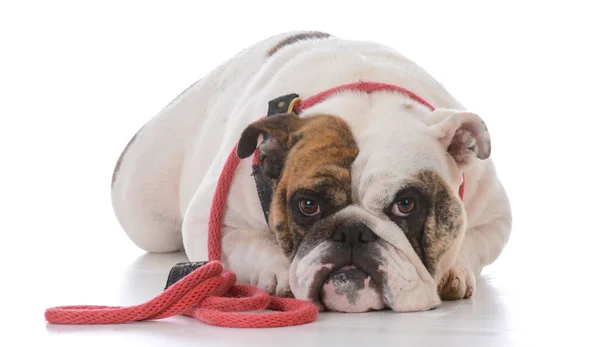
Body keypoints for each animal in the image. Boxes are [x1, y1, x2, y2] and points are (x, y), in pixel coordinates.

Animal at [111, 31, 510, 314]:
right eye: (307, 205)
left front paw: (454, 270)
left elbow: (471, 243)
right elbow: (257, 244)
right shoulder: (210, 224)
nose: (352, 232)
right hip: (145, 212)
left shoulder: (495, 219)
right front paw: (280, 274)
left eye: (406, 205)